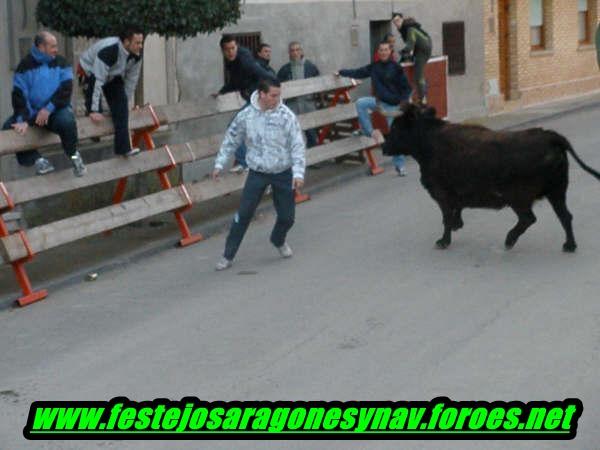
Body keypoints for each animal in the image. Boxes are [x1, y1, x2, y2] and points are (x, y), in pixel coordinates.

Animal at [382, 106, 600, 253]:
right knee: (565, 216)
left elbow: (446, 218)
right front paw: (457, 224)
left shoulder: (441, 195)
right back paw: (569, 245)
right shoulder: (455, 195)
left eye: (396, 129)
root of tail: (551, 137)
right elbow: (456, 210)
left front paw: (443, 241)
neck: (428, 140)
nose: (383, 147)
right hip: (557, 191)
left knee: (529, 218)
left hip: (519, 197)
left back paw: (509, 240)